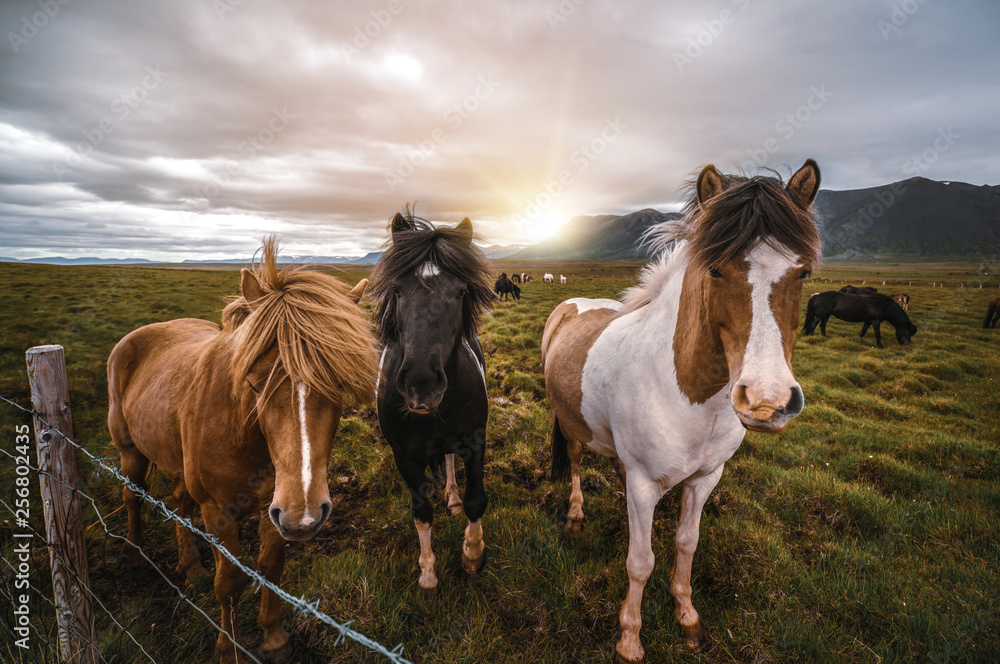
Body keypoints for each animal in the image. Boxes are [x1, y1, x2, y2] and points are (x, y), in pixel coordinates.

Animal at [106, 240, 378, 664]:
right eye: (254, 382)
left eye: (339, 384)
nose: (306, 515)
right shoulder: (219, 510)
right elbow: (230, 581)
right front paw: (228, 648)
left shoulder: (274, 506)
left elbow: (270, 566)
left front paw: (274, 638)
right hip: (131, 452)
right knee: (132, 495)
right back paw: (135, 553)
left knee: (178, 502)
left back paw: (190, 566)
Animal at [368, 208, 496, 596]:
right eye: (396, 289)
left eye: (460, 291)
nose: (421, 384)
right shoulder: (405, 457)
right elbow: (421, 513)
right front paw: (427, 574)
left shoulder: (476, 439)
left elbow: (476, 500)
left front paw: (473, 554)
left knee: (451, 460)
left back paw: (452, 497)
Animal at [544, 160, 824, 660]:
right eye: (715, 269)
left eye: (804, 272)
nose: (767, 400)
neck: (694, 402)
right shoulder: (642, 486)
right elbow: (640, 562)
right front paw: (630, 638)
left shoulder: (705, 479)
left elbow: (687, 544)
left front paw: (687, 616)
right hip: (571, 424)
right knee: (575, 461)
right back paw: (575, 514)